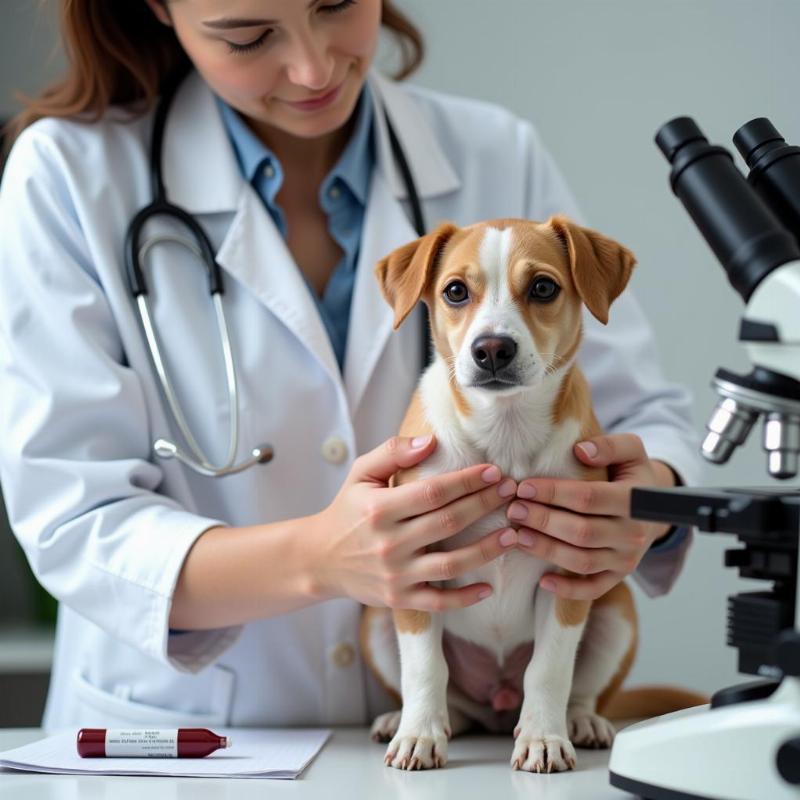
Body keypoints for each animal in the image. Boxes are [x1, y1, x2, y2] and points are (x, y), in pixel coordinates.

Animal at [360, 216, 704, 772]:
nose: (492, 349)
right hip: (375, 617)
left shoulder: (569, 574)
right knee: (450, 695)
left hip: (615, 610)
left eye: (543, 287)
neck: (505, 432)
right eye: (455, 291)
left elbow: (549, 669)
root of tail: (496, 706)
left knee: (580, 690)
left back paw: (582, 722)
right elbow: (425, 667)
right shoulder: (413, 566)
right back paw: (406, 719)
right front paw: (418, 735)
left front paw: (544, 738)